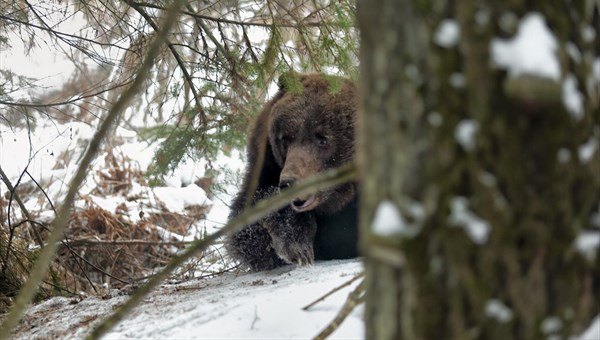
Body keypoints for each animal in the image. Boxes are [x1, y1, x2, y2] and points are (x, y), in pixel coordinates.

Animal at [224, 73, 356, 270]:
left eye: (323, 138)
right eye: (285, 138)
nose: (289, 182)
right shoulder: (264, 168)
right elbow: (248, 233)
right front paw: (298, 249)